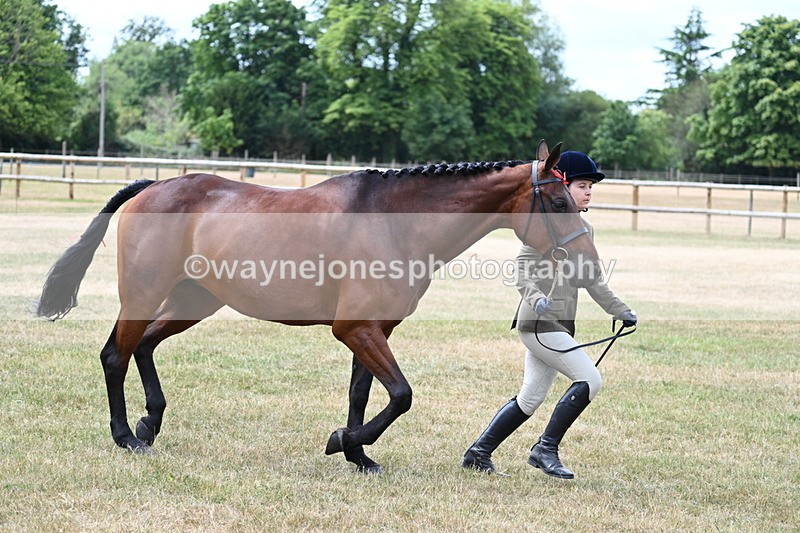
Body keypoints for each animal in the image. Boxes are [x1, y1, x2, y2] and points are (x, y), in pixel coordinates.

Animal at [36, 141, 600, 473]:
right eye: (557, 203)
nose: (589, 264)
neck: (395, 222)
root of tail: (153, 185)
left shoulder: (373, 331)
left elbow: (364, 394)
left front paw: (358, 454)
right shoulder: (354, 329)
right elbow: (401, 395)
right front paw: (341, 442)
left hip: (194, 300)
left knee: (146, 345)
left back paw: (150, 425)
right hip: (145, 292)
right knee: (116, 354)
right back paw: (126, 436)